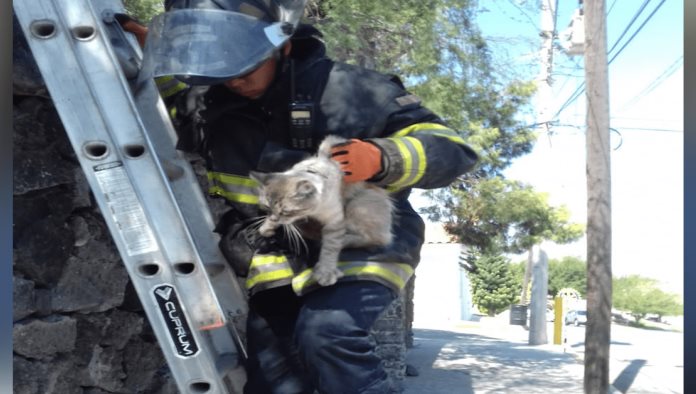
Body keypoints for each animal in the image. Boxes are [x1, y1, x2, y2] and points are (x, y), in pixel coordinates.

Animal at [249, 135, 392, 286]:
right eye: (267, 207)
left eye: (286, 212)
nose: (274, 218)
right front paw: (266, 226)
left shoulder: (335, 221)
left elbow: (330, 247)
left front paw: (326, 272)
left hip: (357, 205)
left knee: (377, 239)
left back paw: (340, 240)